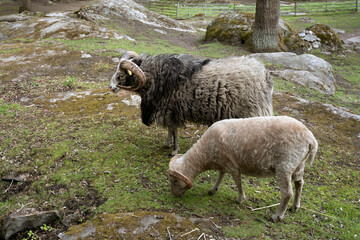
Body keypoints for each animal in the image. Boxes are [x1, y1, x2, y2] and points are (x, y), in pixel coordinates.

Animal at [109, 50, 272, 156]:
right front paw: (167, 143)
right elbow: (170, 130)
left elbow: (173, 130)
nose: (111, 87)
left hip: (252, 110)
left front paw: (174, 150)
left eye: (120, 75)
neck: (156, 77)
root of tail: (264, 74)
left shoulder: (171, 110)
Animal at [169, 115, 318, 222]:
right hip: (299, 164)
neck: (205, 154)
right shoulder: (224, 161)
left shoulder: (232, 165)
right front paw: (213, 189)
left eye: (175, 181)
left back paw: (277, 216)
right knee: (300, 183)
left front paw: (240, 198)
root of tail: (311, 139)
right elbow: (221, 174)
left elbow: (237, 181)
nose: (174, 195)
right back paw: (295, 206)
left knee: (287, 193)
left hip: (285, 165)